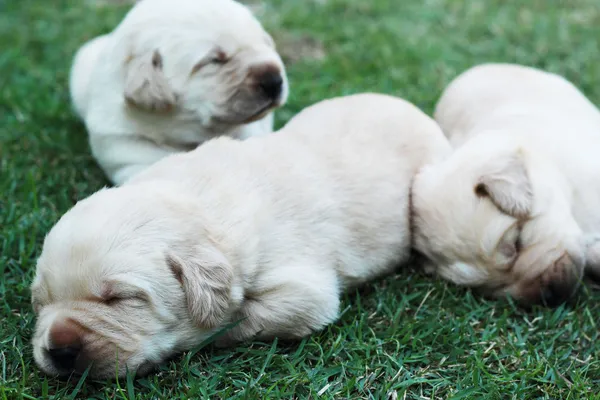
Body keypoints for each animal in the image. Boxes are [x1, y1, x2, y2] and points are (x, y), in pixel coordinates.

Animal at [29, 93, 450, 378]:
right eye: (40, 302)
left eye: (120, 298)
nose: (58, 350)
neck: (198, 202)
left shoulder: (305, 290)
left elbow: (242, 318)